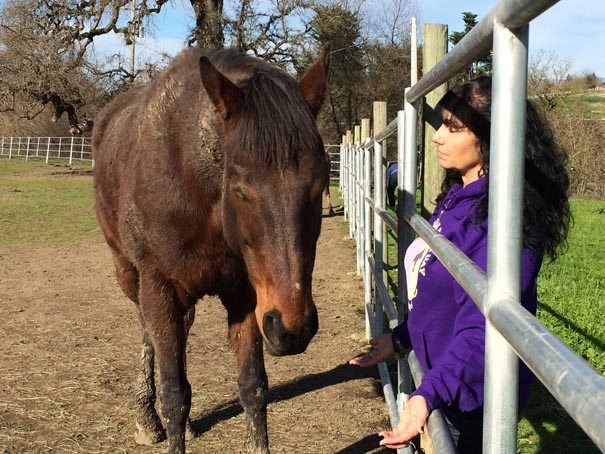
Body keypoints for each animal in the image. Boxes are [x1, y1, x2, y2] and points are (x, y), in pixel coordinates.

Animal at [93, 47, 330, 454]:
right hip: (129, 274)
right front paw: (164, 419)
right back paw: (147, 419)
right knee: (147, 334)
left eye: (319, 184)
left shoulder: (246, 295)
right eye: (241, 190)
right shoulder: (159, 286)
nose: (292, 328)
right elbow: (175, 394)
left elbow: (253, 387)